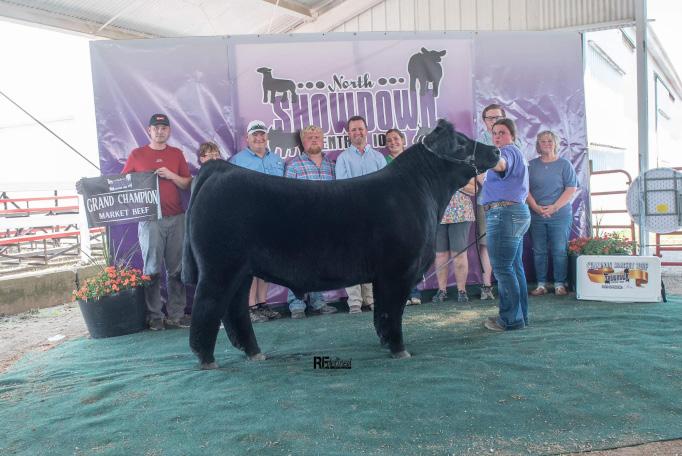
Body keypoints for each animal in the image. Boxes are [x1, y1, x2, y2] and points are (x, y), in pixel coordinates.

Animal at [183, 119, 499, 369]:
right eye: (460, 144)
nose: (496, 150)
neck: (422, 191)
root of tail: (221, 169)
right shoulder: (398, 270)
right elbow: (392, 311)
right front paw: (399, 349)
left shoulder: (384, 274)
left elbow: (382, 313)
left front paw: (385, 342)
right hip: (219, 268)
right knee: (207, 308)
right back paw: (207, 360)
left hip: (241, 271)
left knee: (234, 310)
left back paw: (254, 353)